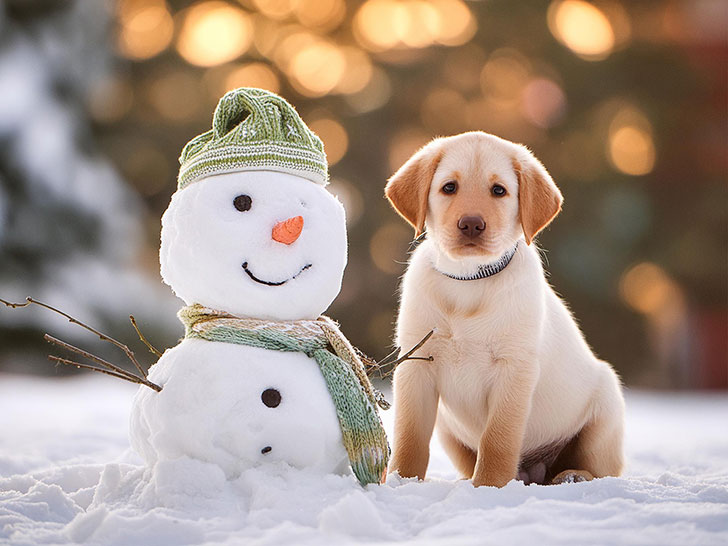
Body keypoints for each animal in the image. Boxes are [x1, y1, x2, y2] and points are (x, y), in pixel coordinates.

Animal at [386, 131, 624, 484]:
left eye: (499, 190)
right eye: (449, 187)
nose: (471, 224)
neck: (469, 280)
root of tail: (534, 472)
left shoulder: (514, 369)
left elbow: (498, 440)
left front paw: (489, 486)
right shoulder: (416, 364)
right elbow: (410, 438)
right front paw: (400, 481)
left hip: (606, 406)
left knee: (603, 470)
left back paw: (572, 475)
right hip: (447, 429)